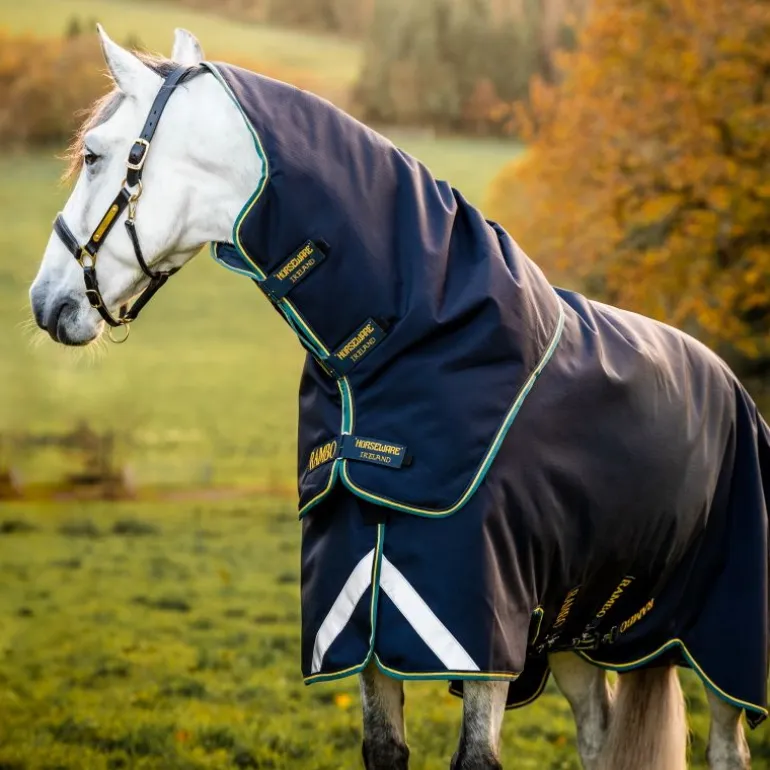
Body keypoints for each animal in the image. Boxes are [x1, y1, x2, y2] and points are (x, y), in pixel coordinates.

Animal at [29, 27, 768, 770]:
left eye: (94, 155)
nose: (45, 302)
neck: (396, 355)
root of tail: (729, 382)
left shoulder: (478, 629)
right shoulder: (362, 617)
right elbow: (383, 746)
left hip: (719, 644)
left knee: (725, 747)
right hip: (576, 631)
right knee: (598, 735)